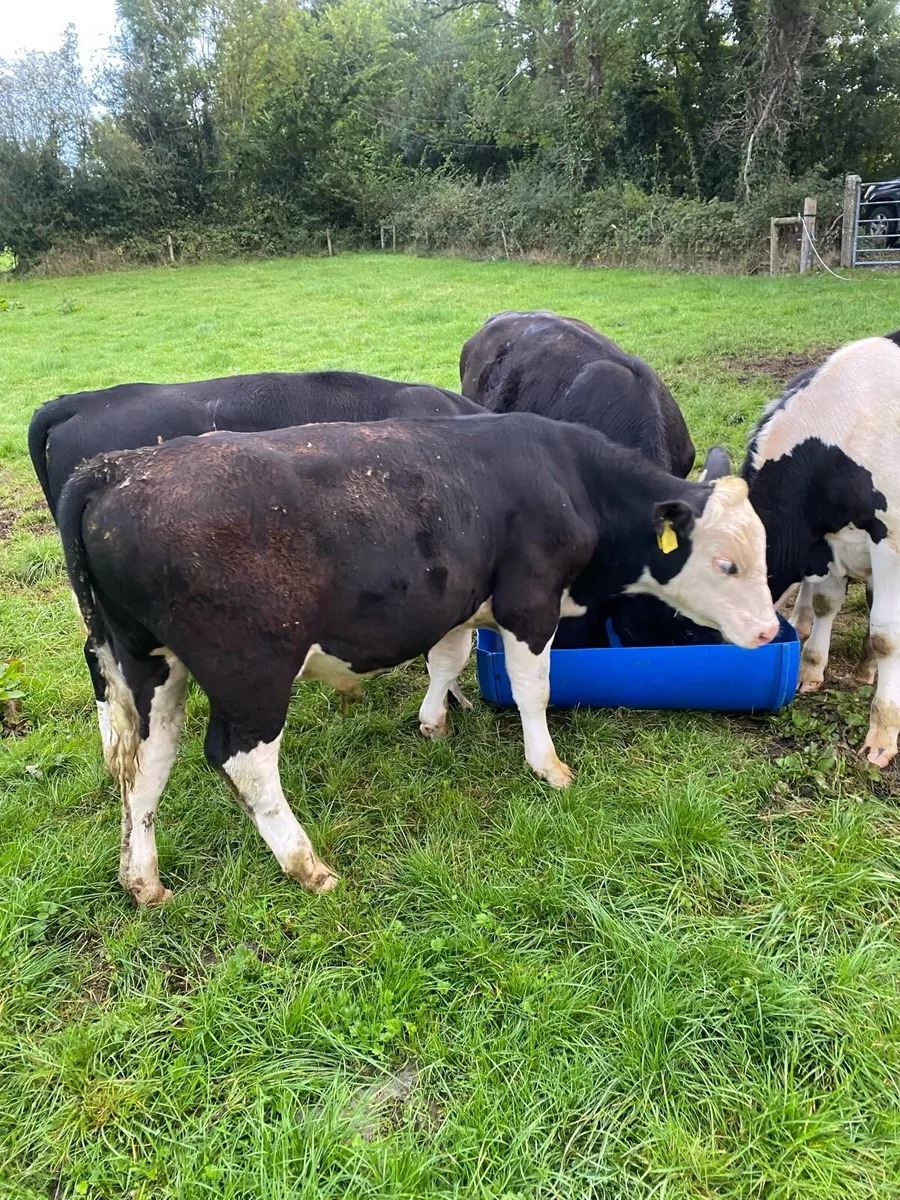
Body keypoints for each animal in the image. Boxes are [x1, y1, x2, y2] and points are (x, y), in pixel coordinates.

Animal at [58, 413, 778, 905]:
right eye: (727, 563)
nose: (771, 629)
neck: (568, 478)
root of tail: (113, 470)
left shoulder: (459, 602)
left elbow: (448, 660)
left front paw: (434, 722)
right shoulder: (529, 602)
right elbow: (533, 689)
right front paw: (548, 766)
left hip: (147, 665)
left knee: (145, 761)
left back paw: (143, 879)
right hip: (252, 672)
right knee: (242, 760)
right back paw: (305, 864)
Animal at [741, 333, 900, 766]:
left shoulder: (890, 539)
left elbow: (887, 635)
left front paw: (883, 734)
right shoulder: (827, 543)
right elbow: (826, 603)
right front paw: (810, 671)